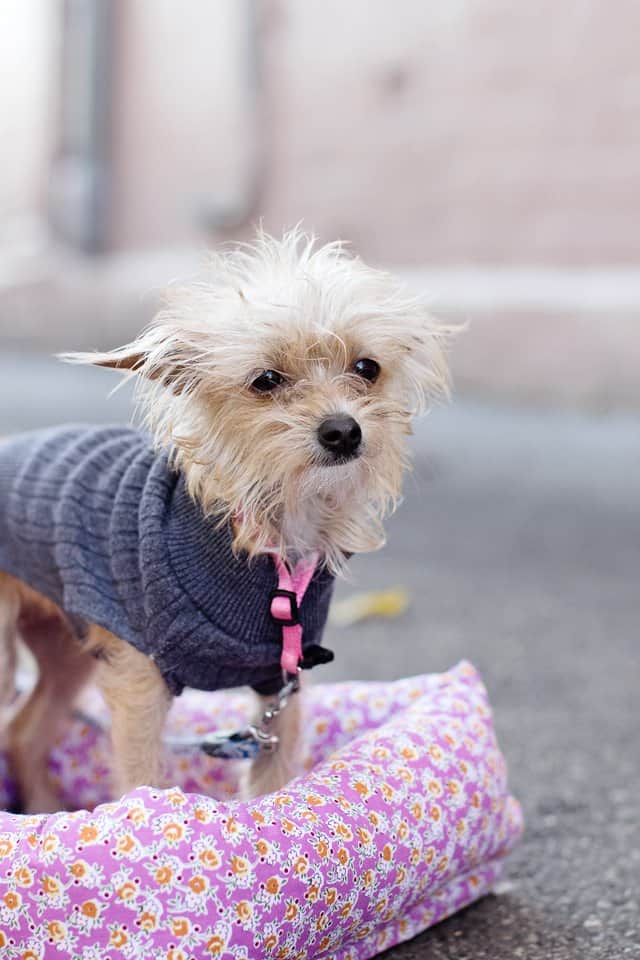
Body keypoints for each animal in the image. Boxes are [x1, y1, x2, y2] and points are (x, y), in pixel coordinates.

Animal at [0, 231, 450, 808]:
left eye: (366, 368)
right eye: (266, 380)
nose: (343, 431)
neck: (269, 537)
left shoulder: (280, 686)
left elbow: (273, 783)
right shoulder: (142, 682)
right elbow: (142, 778)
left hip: (66, 649)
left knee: (23, 732)